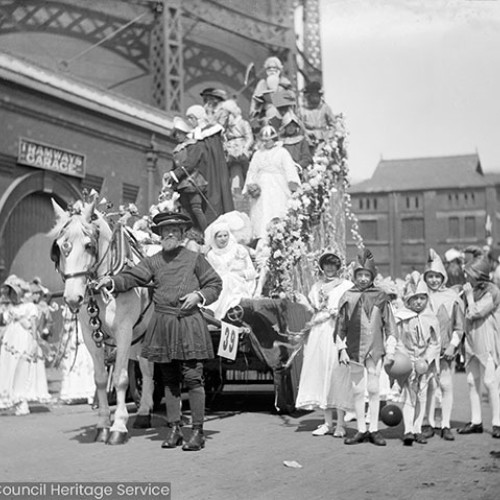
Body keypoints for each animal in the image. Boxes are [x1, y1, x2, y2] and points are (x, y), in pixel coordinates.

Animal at [49, 197, 154, 444]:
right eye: (59, 247)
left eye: (89, 245)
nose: (72, 298)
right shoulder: (90, 335)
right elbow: (99, 379)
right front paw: (103, 425)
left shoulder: (124, 332)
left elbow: (120, 378)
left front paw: (119, 427)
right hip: (140, 336)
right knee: (146, 369)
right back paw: (144, 412)